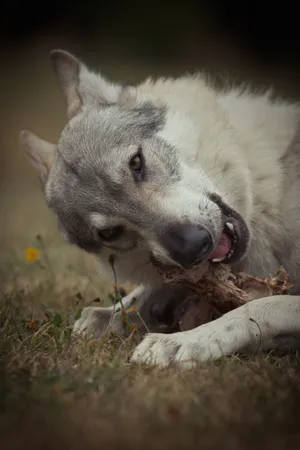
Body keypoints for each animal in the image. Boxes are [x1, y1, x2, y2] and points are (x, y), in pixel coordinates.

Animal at [19, 49, 300, 368]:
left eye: (136, 163)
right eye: (110, 233)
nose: (193, 246)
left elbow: (259, 307)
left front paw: (187, 341)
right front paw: (111, 315)